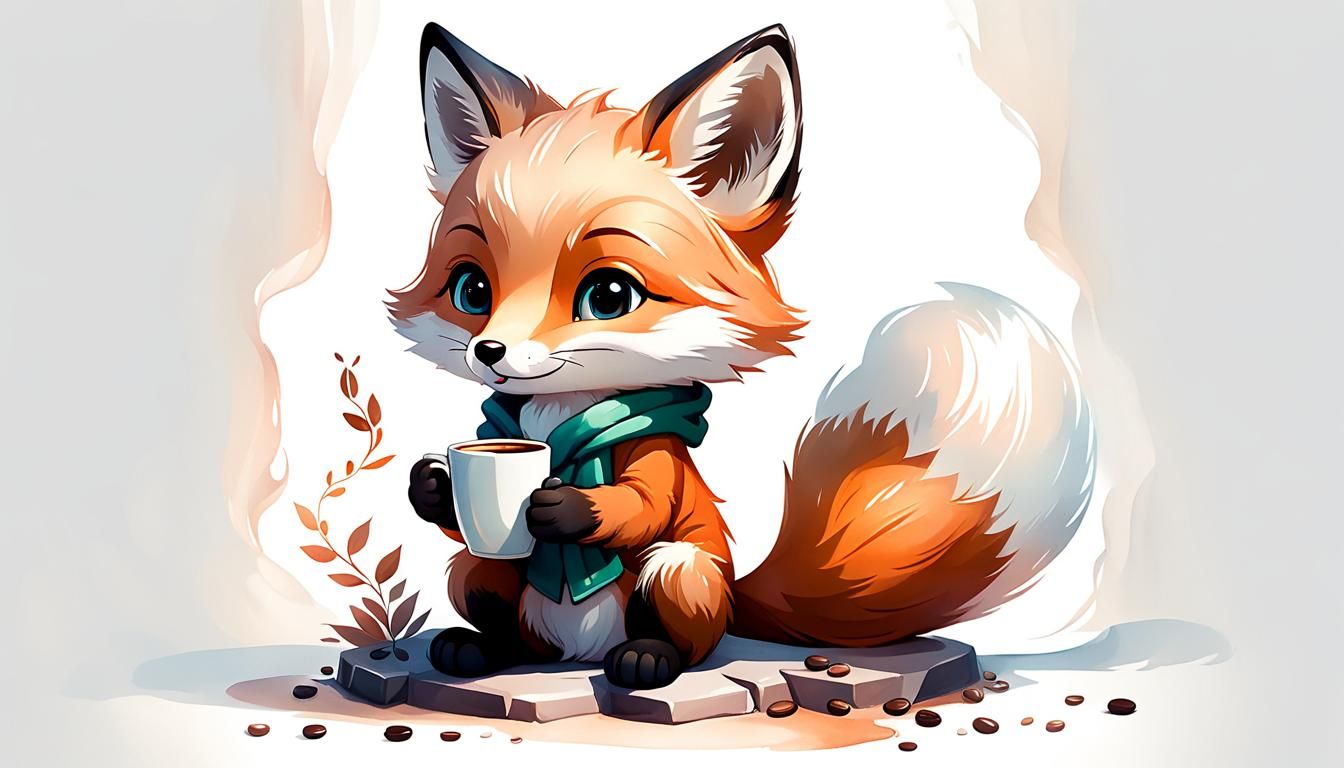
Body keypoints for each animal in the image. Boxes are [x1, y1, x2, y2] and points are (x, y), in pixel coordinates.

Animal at [390, 22, 1095, 690]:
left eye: (609, 295)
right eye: (472, 290)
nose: (490, 351)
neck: (562, 415)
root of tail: (573, 654)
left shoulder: (656, 454)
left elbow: (643, 505)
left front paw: (568, 508)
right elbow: (455, 521)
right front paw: (433, 487)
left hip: (683, 573)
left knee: (685, 629)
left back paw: (647, 660)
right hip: (483, 577)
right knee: (484, 582)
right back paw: (480, 648)